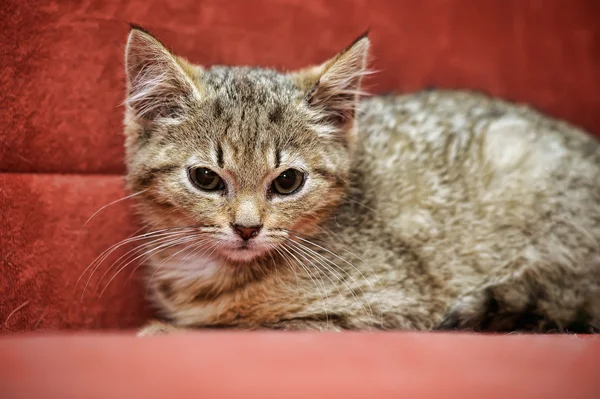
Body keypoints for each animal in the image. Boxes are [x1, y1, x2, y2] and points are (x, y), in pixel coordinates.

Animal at [122, 26, 600, 336]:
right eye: (205, 178)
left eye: (288, 182)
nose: (246, 228)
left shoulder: (391, 308)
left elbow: (255, 328)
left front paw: (165, 331)